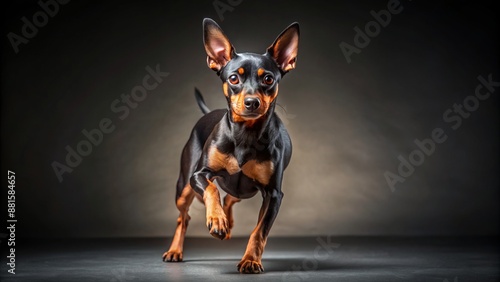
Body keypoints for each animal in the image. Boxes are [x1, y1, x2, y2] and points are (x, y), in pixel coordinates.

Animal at [162, 17, 298, 274]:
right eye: (234, 78)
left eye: (268, 79)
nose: (252, 102)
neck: (245, 134)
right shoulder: (199, 175)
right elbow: (211, 190)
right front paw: (216, 219)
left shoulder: (274, 194)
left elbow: (260, 231)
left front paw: (251, 260)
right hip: (184, 187)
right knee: (184, 217)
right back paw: (176, 250)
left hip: (244, 189)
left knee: (230, 198)